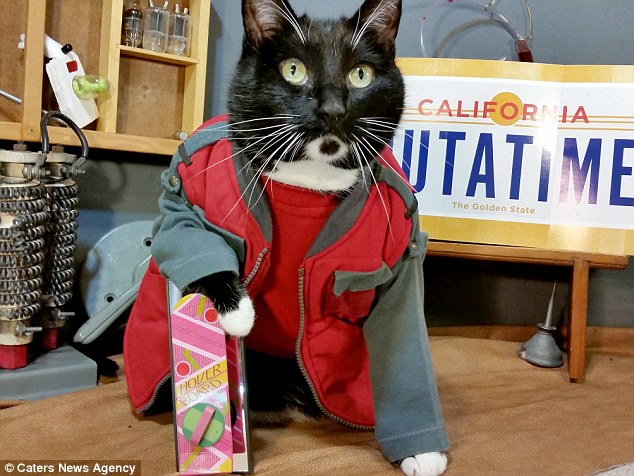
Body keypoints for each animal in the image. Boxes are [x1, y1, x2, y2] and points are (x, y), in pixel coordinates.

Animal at [178, 0, 450, 474]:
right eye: (293, 70)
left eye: (360, 74)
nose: (333, 109)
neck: (309, 179)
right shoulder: (179, 202)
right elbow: (194, 244)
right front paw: (237, 313)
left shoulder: (403, 257)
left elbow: (403, 338)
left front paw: (422, 451)